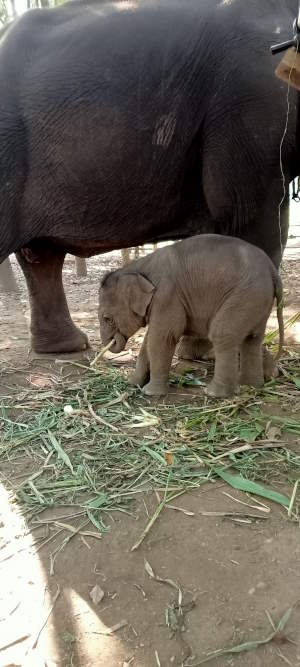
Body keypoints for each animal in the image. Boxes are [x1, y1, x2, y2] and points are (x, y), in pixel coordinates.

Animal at [98, 236, 284, 396]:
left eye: (107, 318)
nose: (112, 342)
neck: (137, 267)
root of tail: (272, 270)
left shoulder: (166, 295)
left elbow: (162, 338)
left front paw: (151, 392)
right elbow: (148, 340)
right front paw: (133, 383)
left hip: (246, 295)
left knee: (222, 333)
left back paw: (214, 393)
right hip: (257, 300)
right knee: (252, 339)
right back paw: (251, 385)